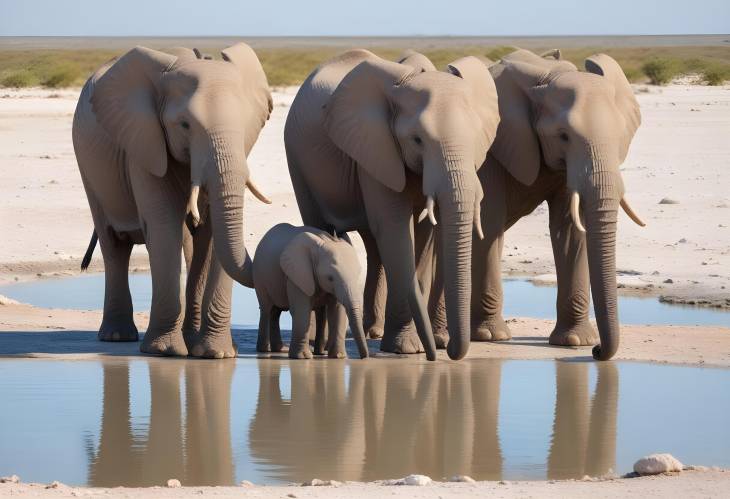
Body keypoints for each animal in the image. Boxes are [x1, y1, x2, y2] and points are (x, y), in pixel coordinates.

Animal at [72, 41, 272, 358]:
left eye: (246, 123)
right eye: (185, 125)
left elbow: (211, 235)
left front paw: (217, 354)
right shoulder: (145, 143)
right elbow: (163, 225)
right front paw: (164, 352)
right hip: (89, 169)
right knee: (114, 244)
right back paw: (117, 336)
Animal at [253, 224, 370, 360]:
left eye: (358, 274)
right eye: (330, 278)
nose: (364, 357)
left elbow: (337, 311)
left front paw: (338, 357)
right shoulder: (297, 274)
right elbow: (302, 310)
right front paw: (303, 357)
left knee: (277, 312)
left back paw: (287, 350)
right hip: (259, 277)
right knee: (267, 309)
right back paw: (264, 350)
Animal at [282, 50, 498, 362]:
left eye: (476, 137)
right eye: (417, 140)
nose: (441, 354)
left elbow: (422, 235)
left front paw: (412, 346)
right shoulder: (375, 147)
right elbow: (396, 229)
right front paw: (406, 349)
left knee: (374, 244)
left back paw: (373, 331)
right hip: (297, 158)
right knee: (319, 222)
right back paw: (316, 341)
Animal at [460, 48, 644, 362]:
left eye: (619, 135)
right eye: (564, 135)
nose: (597, 351)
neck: (547, 75)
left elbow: (570, 229)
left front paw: (574, 342)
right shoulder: (491, 148)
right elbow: (488, 222)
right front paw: (490, 337)